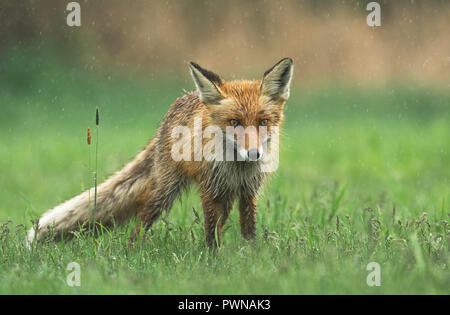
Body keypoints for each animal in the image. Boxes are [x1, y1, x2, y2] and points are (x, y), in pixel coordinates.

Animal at [28, 58, 296, 248]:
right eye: (233, 122)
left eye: (263, 122)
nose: (254, 153)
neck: (237, 167)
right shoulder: (209, 189)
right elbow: (210, 233)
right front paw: (214, 262)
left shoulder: (248, 191)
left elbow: (247, 231)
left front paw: (250, 256)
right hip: (165, 192)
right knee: (139, 224)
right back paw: (131, 253)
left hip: (226, 195)